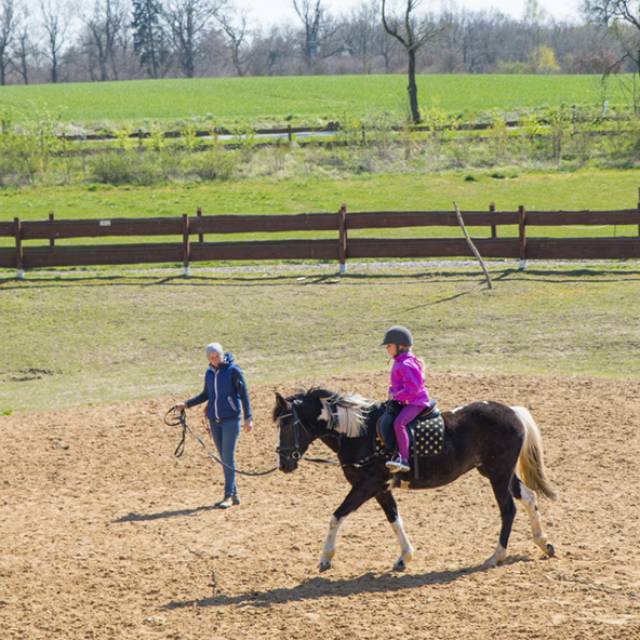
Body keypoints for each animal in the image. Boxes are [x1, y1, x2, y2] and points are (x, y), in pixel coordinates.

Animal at [272, 388, 556, 572]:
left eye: (286, 425)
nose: (284, 464)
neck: (360, 433)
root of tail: (513, 412)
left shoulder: (366, 486)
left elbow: (336, 516)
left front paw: (325, 558)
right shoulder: (380, 489)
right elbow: (394, 519)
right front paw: (404, 557)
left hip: (498, 473)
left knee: (508, 509)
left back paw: (496, 556)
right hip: (495, 471)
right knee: (529, 497)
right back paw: (544, 543)